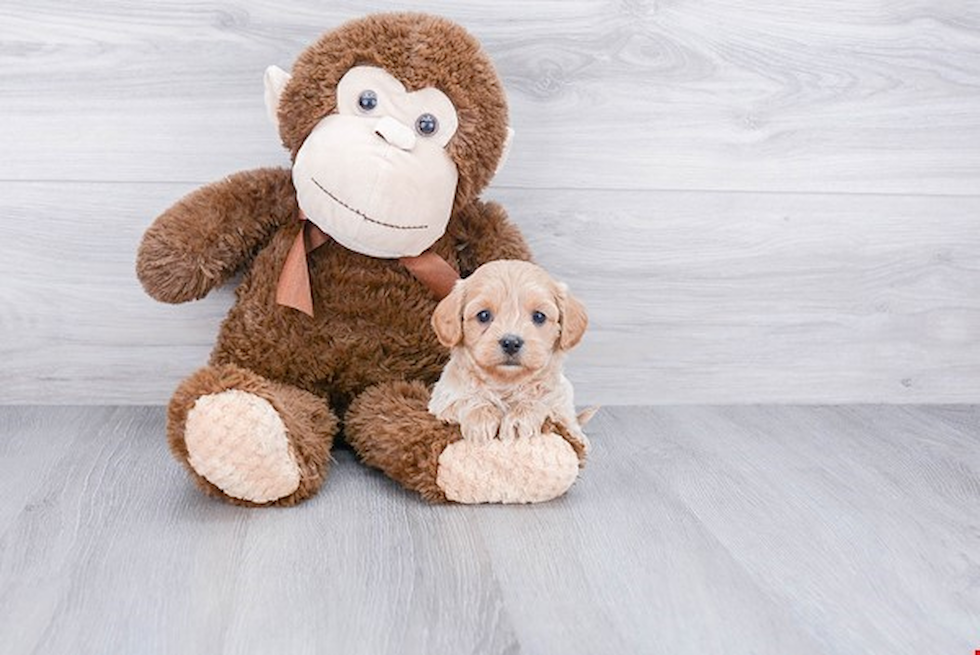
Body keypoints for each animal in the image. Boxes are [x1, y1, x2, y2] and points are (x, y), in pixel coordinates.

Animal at [426, 258, 588, 454]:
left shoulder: (560, 404)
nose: (511, 342)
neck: (505, 384)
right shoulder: (442, 399)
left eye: (539, 316)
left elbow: (542, 401)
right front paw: (481, 420)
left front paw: (518, 420)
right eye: (484, 315)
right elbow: (467, 399)